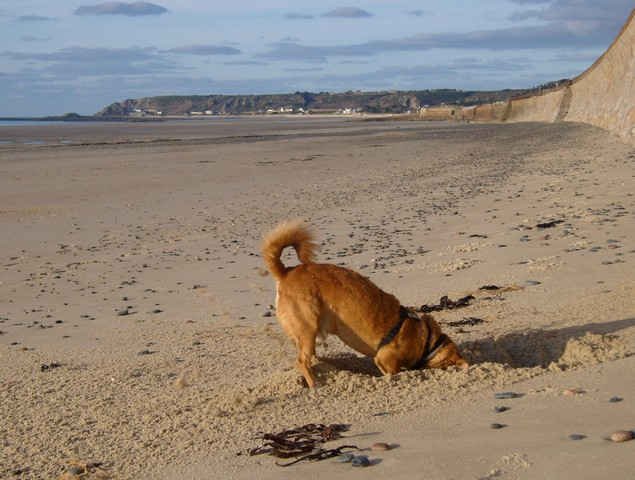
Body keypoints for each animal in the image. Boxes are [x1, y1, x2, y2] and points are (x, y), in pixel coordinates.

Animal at [260, 220, 470, 386]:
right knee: (302, 362)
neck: (427, 340)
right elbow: (393, 371)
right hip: (307, 327)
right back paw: (316, 385)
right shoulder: (386, 360)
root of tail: (286, 272)